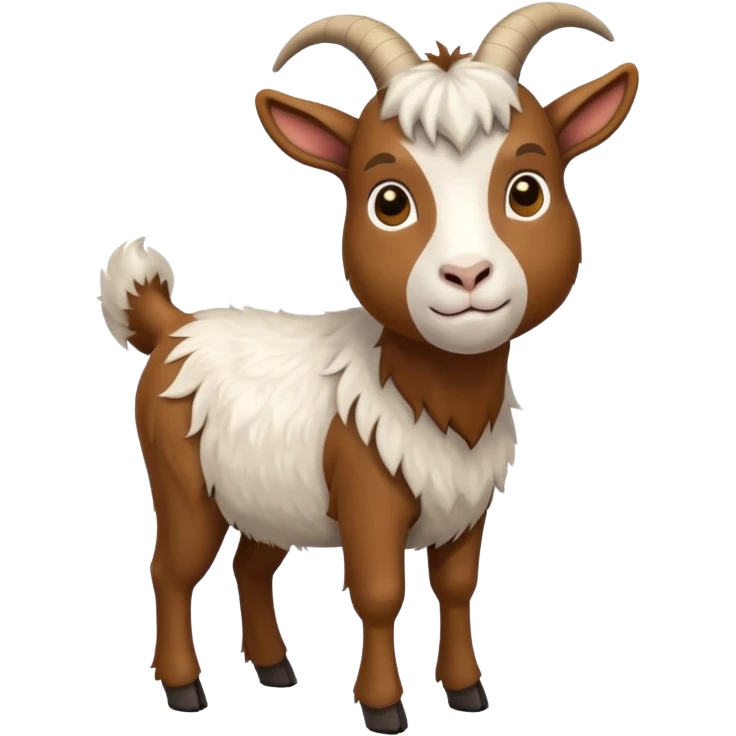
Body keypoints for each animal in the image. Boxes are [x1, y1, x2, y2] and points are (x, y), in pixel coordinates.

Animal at [99, 4, 638, 733]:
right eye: (389, 201)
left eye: (527, 191)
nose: (467, 275)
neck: (434, 397)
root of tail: (175, 324)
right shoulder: (368, 494)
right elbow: (380, 593)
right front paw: (385, 707)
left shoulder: (469, 508)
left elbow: (456, 587)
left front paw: (468, 692)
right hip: (183, 481)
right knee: (173, 569)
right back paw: (185, 689)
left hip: (269, 494)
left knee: (252, 565)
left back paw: (275, 670)